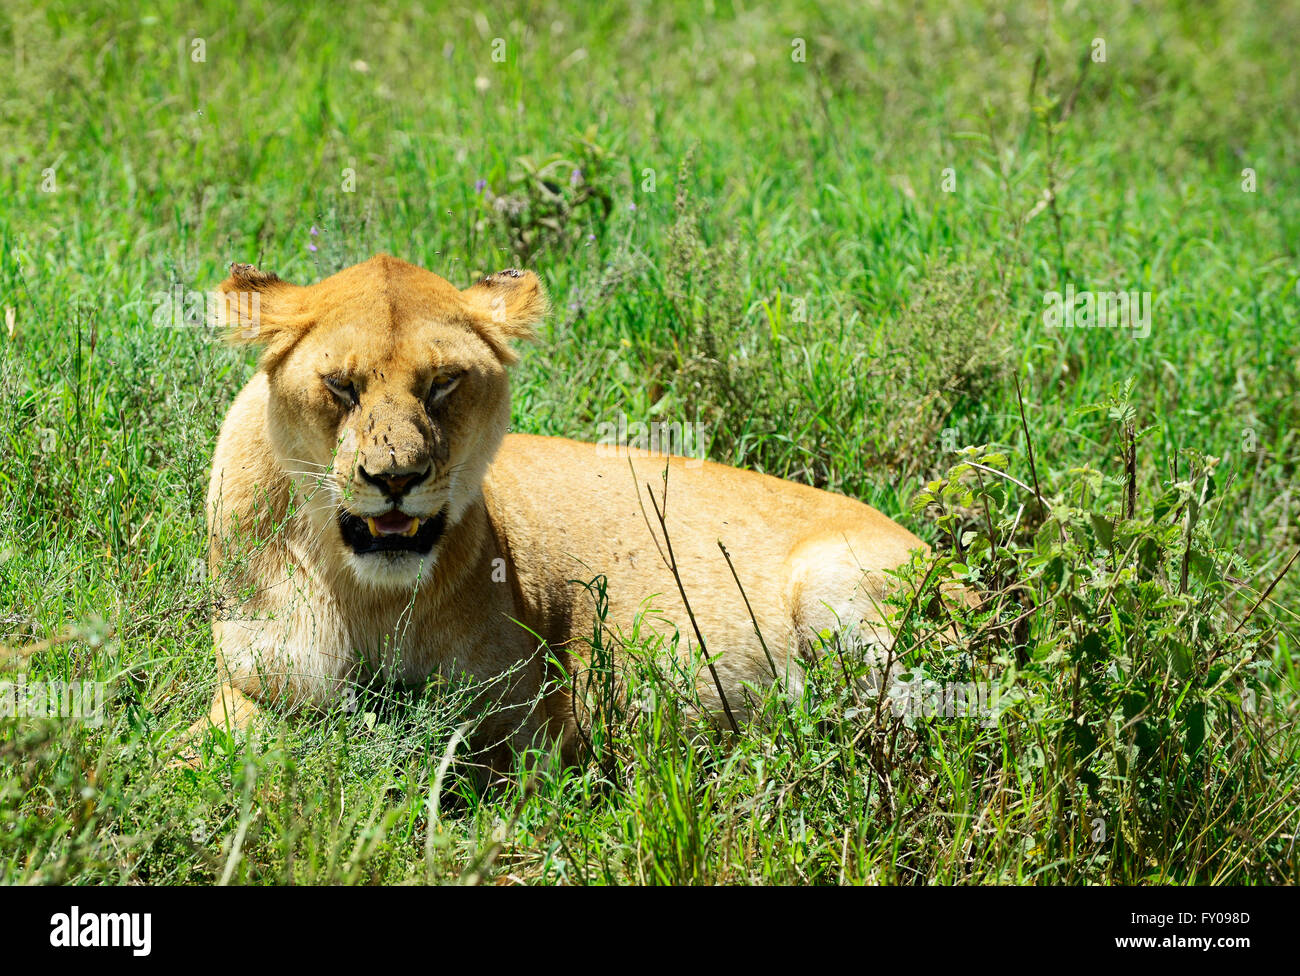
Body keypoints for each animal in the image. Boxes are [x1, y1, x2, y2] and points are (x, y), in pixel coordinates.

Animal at [197, 256, 941, 774]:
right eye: (341, 385)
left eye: (443, 383)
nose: (396, 478)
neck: (370, 596)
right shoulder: (256, 679)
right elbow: (216, 739)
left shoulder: (535, 721)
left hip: (839, 589)